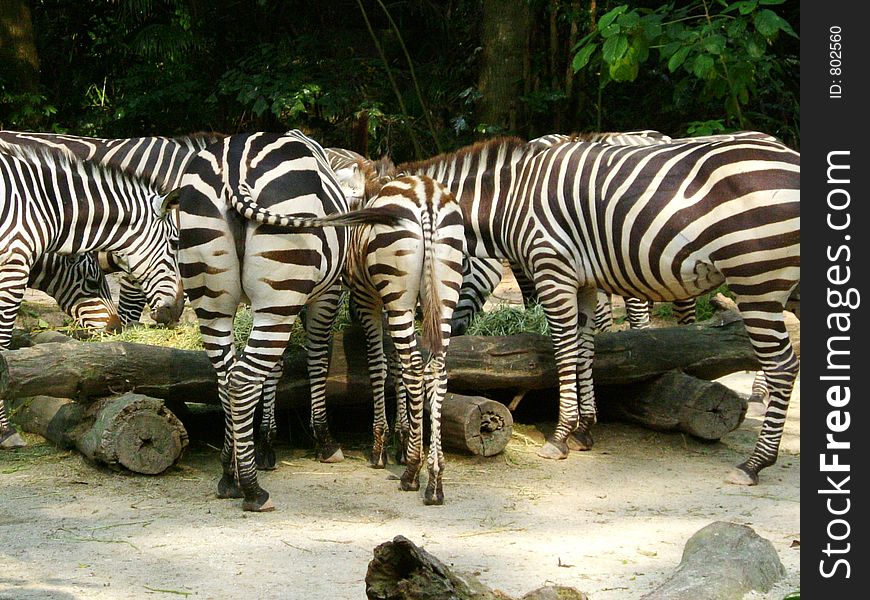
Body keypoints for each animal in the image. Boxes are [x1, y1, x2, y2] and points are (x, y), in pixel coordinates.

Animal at [0, 149, 186, 450]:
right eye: (175, 243)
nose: (177, 309)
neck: (42, 207)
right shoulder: (12, 268)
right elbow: (3, 345)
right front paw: (5, 431)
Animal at [179, 127, 404, 510]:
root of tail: (235, 167)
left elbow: (276, 367)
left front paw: (266, 443)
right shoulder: (324, 296)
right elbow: (318, 360)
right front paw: (324, 441)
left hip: (215, 297)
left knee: (226, 379)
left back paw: (229, 474)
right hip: (280, 291)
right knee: (242, 380)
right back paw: (253, 490)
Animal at [338, 173, 466, 506]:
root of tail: (427, 195)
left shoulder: (368, 300)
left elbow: (380, 367)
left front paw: (381, 447)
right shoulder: (390, 304)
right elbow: (394, 367)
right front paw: (403, 435)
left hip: (396, 291)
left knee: (414, 368)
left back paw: (412, 472)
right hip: (443, 290)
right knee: (435, 371)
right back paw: (434, 477)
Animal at [398, 132, 800, 488]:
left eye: (458, 265)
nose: (435, 327)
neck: (512, 201)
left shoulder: (553, 271)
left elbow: (564, 352)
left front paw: (559, 437)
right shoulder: (585, 282)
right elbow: (585, 352)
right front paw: (584, 429)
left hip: (756, 276)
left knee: (783, 364)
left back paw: (754, 463)